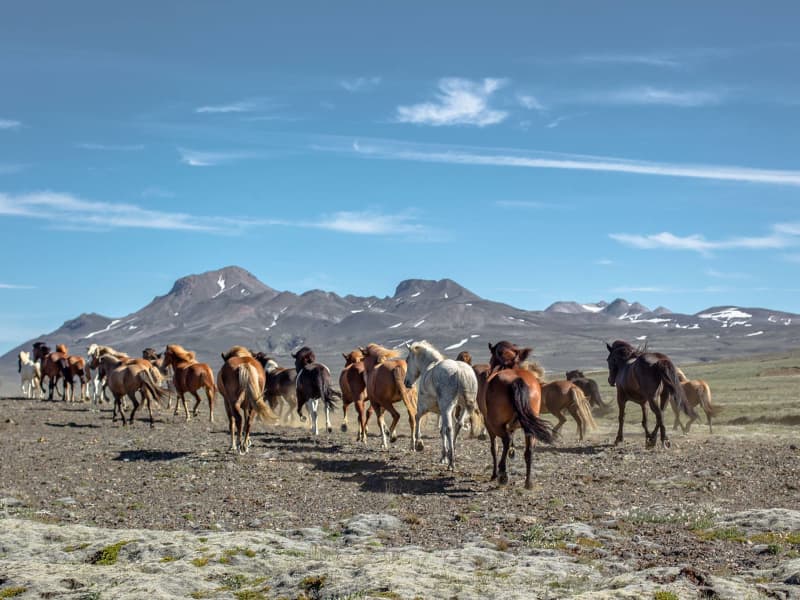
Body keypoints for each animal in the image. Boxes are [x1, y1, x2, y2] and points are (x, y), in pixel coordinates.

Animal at [404, 340, 478, 472]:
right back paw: (451, 453)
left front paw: (419, 443)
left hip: (447, 408)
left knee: (449, 428)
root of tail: (460, 371)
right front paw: (444, 456)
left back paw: (452, 462)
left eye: (407, 360)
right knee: (458, 425)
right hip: (463, 407)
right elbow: (441, 430)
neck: (428, 367)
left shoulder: (424, 407)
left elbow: (417, 418)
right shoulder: (442, 412)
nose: (406, 383)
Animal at [478, 342, 552, 488]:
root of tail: (516, 379)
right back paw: (528, 482)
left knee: (505, 441)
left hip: (496, 424)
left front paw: (494, 474)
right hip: (529, 427)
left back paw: (502, 474)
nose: (489, 371)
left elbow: (494, 447)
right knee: (529, 450)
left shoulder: (489, 425)